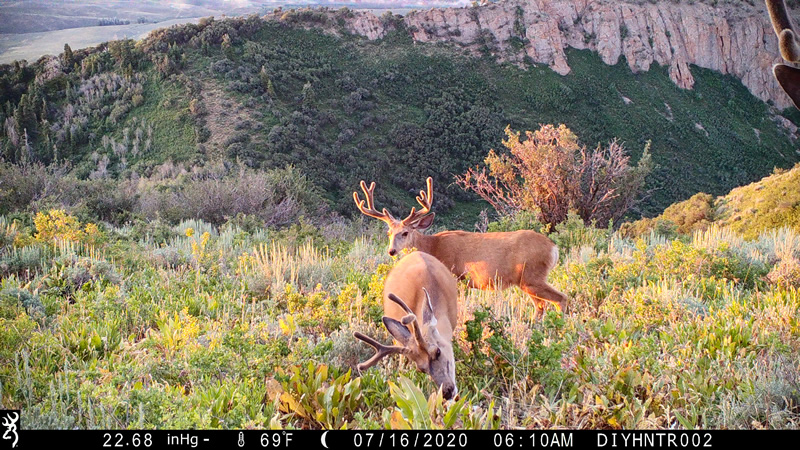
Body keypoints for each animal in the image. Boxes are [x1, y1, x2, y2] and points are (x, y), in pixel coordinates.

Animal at [354, 177, 568, 320]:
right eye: (389, 233)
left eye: (405, 233)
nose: (391, 251)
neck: (432, 247)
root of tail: (553, 248)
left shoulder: (456, 276)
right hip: (528, 282)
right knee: (541, 306)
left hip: (532, 277)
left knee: (560, 299)